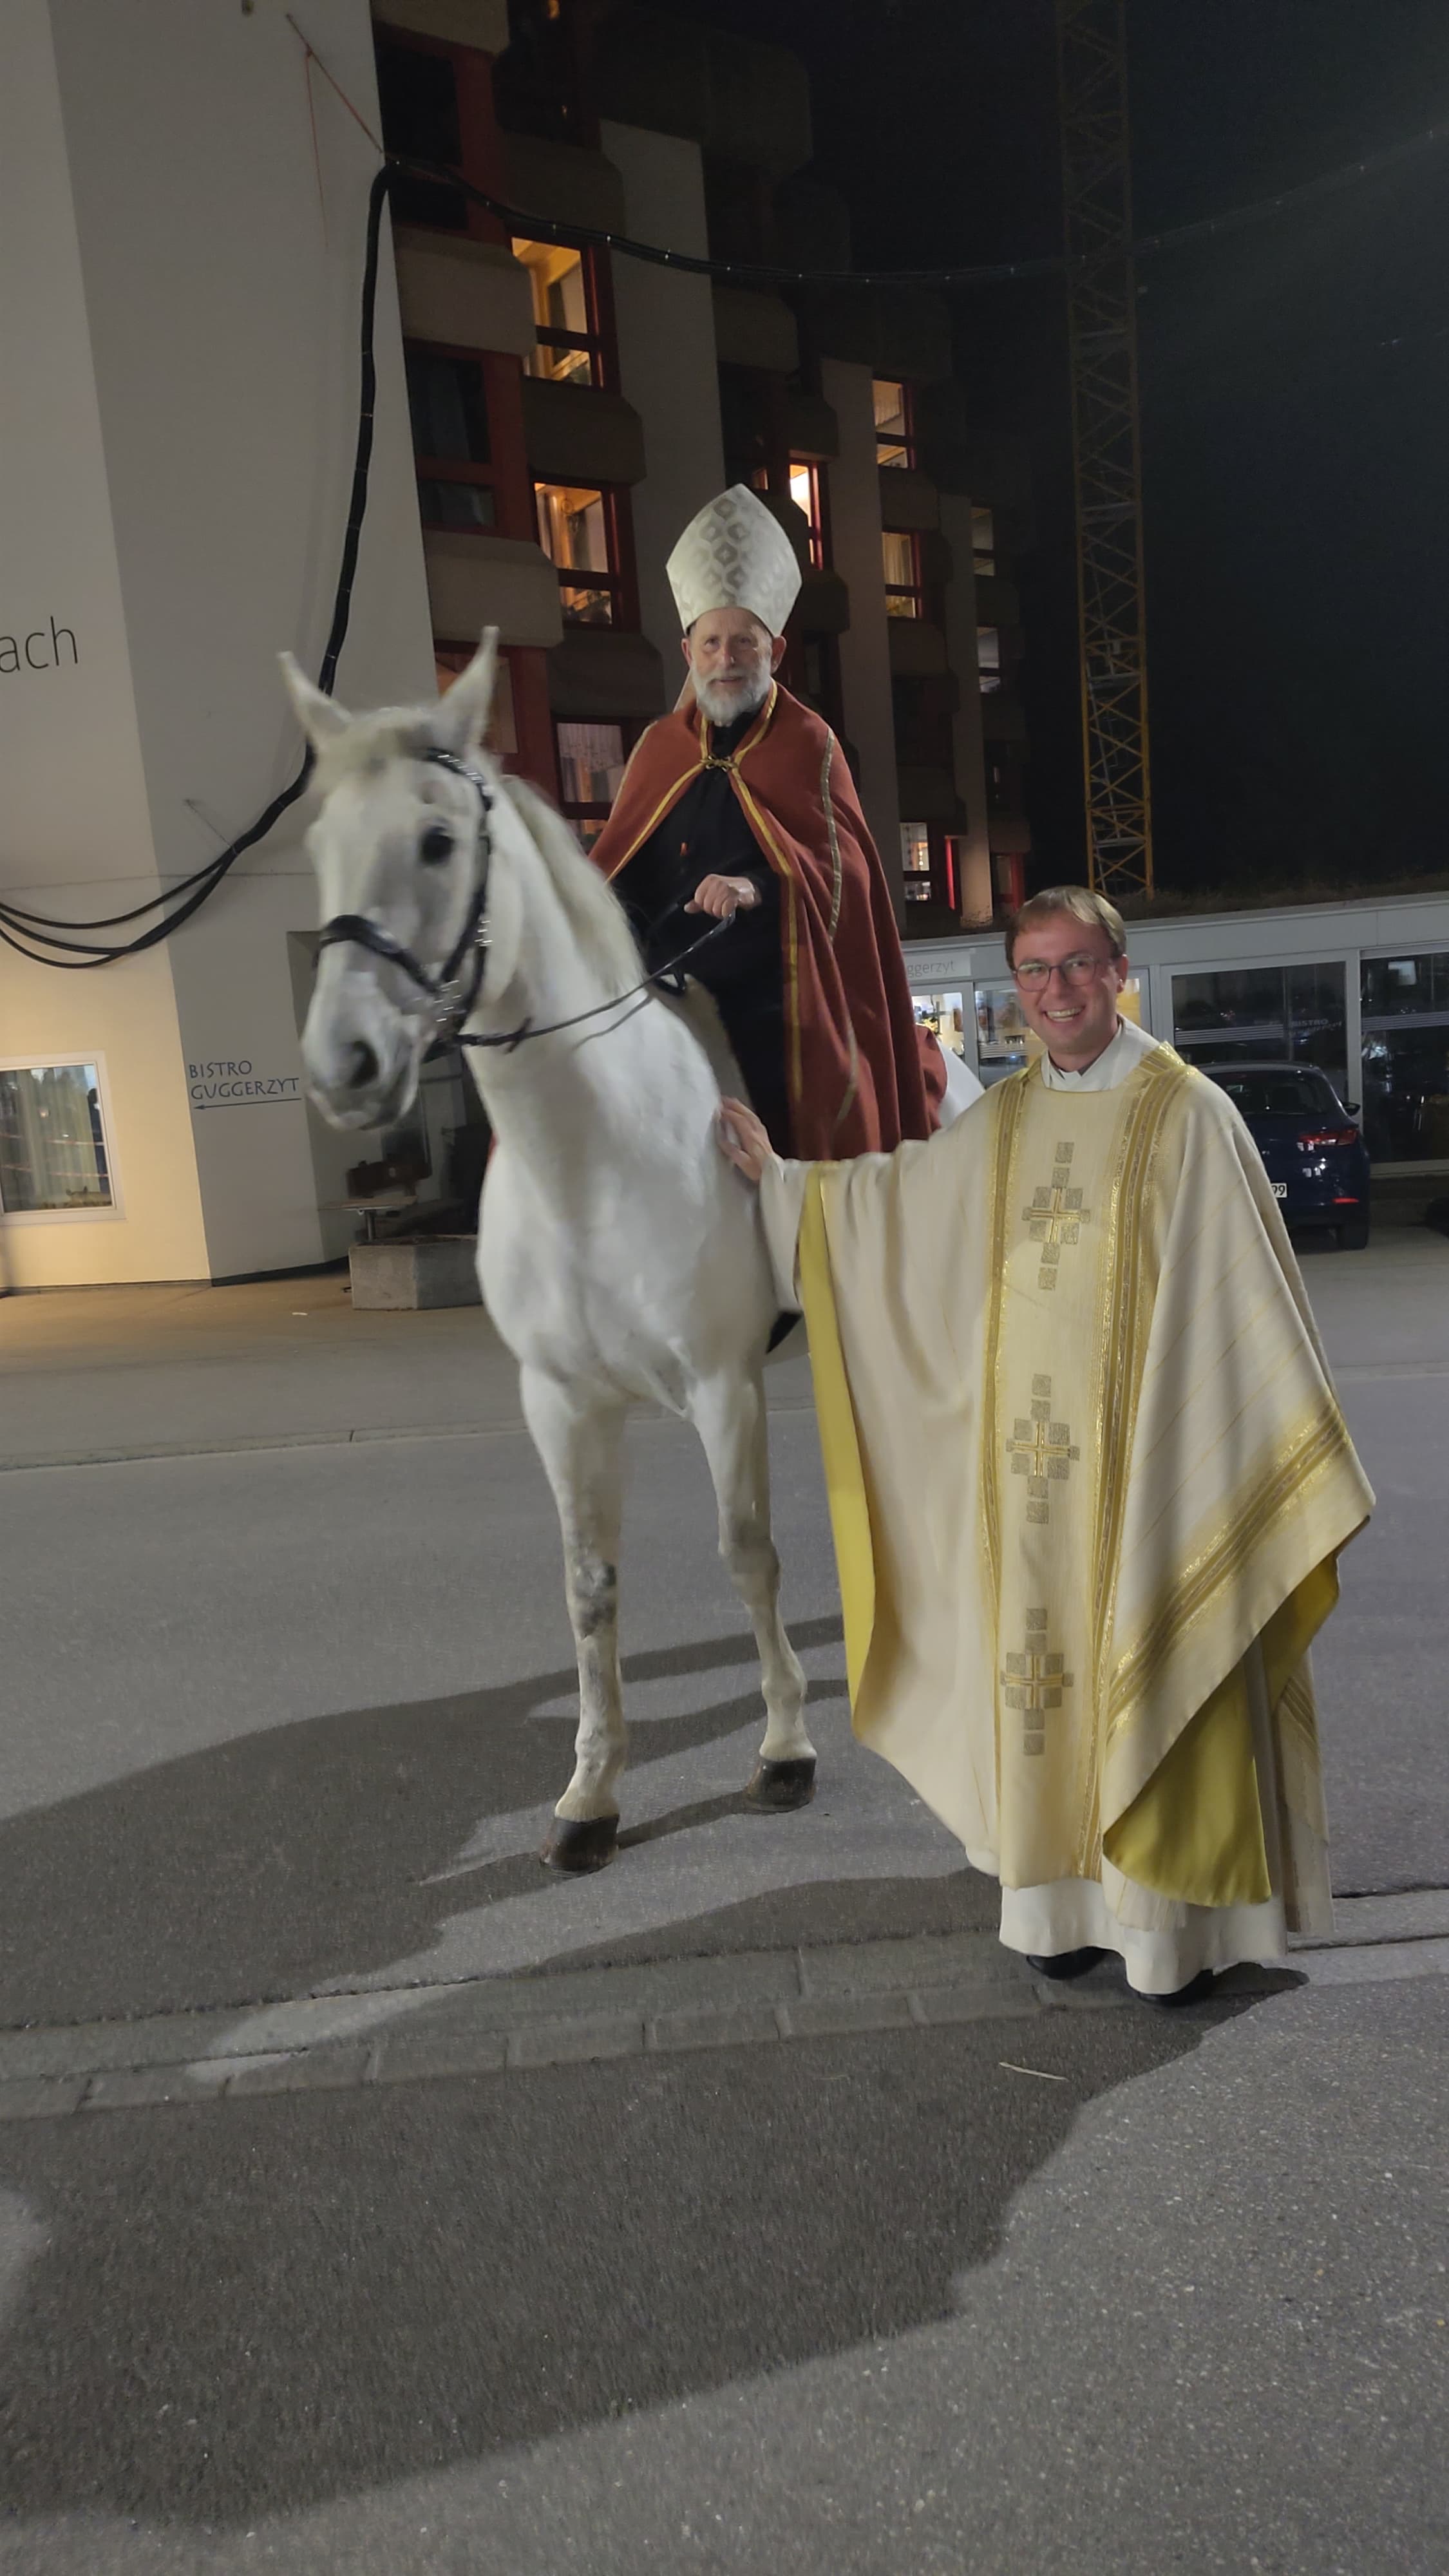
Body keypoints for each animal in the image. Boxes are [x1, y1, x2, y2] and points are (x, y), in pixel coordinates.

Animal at [284, 634, 816, 1872]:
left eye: (438, 840)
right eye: (318, 844)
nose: (345, 1065)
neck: (592, 1163)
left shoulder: (726, 1385)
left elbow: (748, 1550)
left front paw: (783, 1745)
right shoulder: (561, 1402)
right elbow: (589, 1589)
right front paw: (590, 1794)